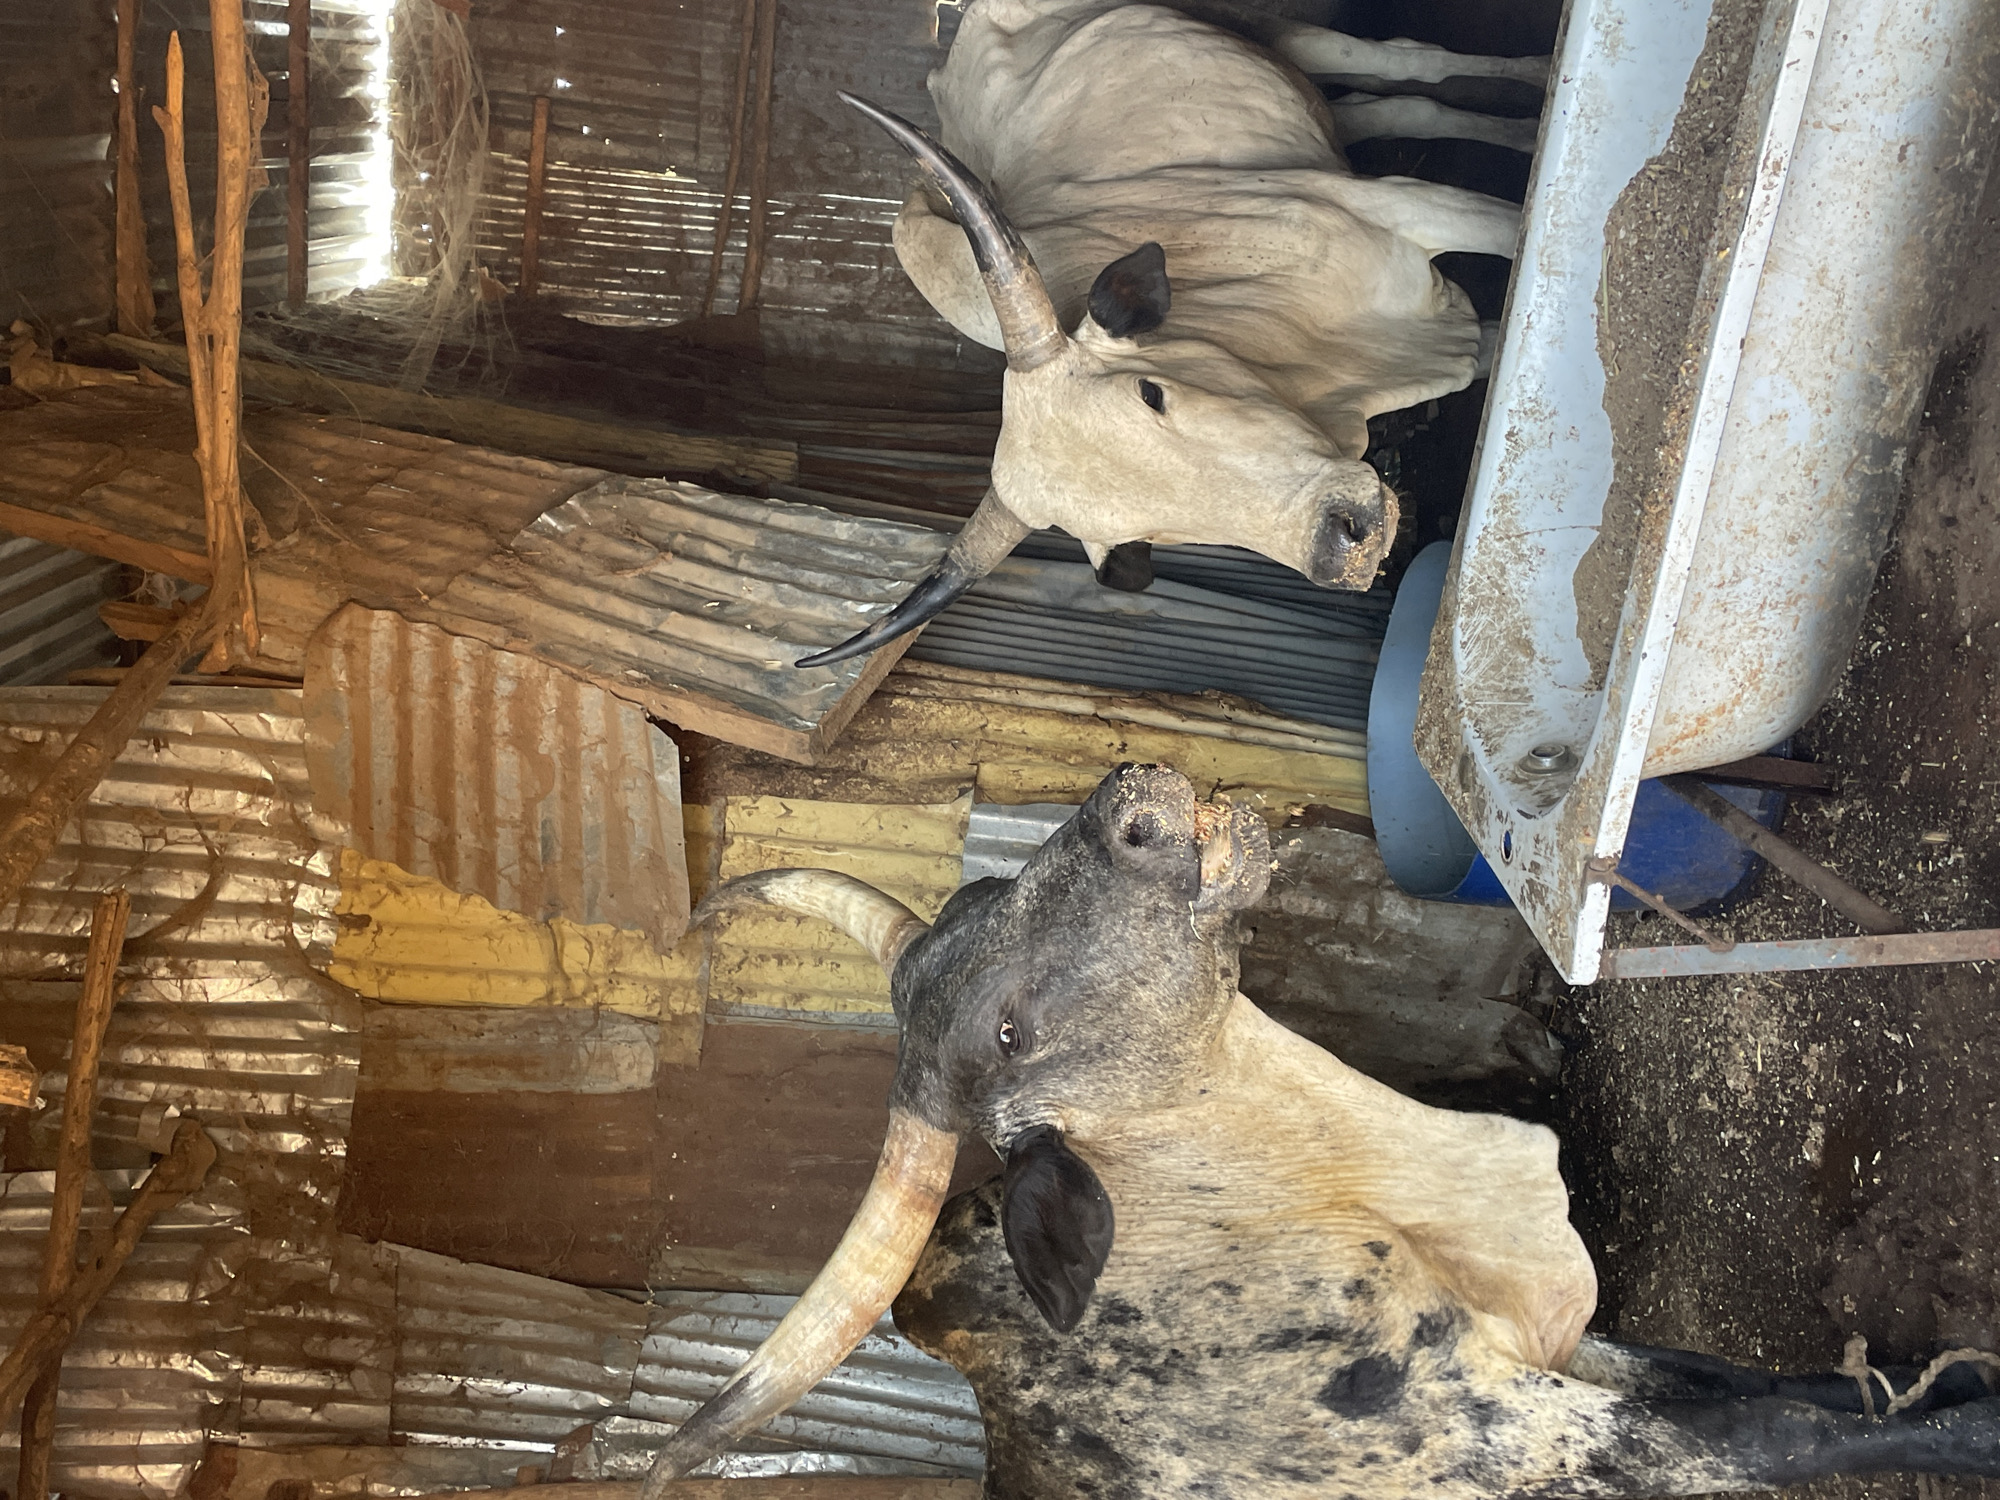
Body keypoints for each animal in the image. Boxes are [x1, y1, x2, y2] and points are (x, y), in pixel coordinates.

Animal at [640, 763, 2000, 1498]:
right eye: (1009, 1034)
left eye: (983, 888)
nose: (1127, 806)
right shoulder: (1558, 1442)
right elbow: (1784, 1427)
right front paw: (1973, 1416)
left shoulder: (1578, 1350)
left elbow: (1770, 1384)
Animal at [797, 0, 1531, 667]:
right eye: (1140, 529)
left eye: (1151, 393)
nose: (1344, 544)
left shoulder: (1410, 207)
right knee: (1384, 106)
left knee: (1410, 69)